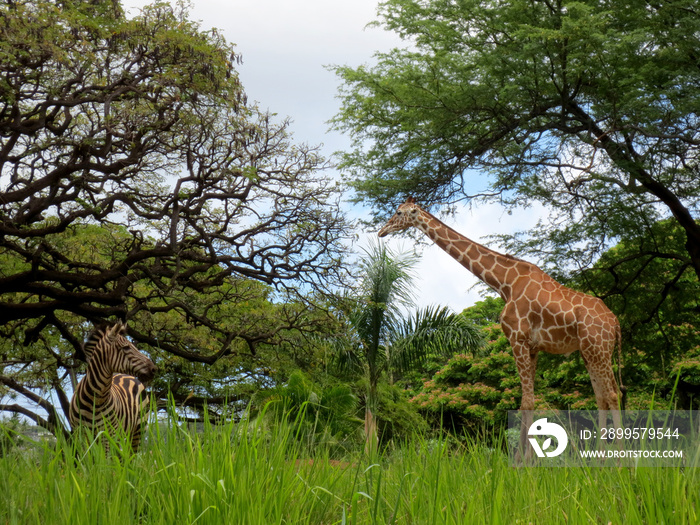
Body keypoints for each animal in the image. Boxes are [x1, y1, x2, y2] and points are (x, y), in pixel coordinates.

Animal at [69, 320, 157, 450]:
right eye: (126, 347)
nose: (154, 369)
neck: (94, 399)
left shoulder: (106, 434)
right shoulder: (80, 434)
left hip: (138, 430)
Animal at [378, 196, 624, 458]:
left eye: (399, 212)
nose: (382, 231)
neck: (504, 282)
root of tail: (615, 322)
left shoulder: (517, 339)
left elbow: (526, 402)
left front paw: (521, 461)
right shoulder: (532, 347)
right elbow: (529, 401)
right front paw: (528, 460)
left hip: (598, 348)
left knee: (612, 394)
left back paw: (621, 460)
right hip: (590, 352)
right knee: (602, 397)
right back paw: (600, 460)